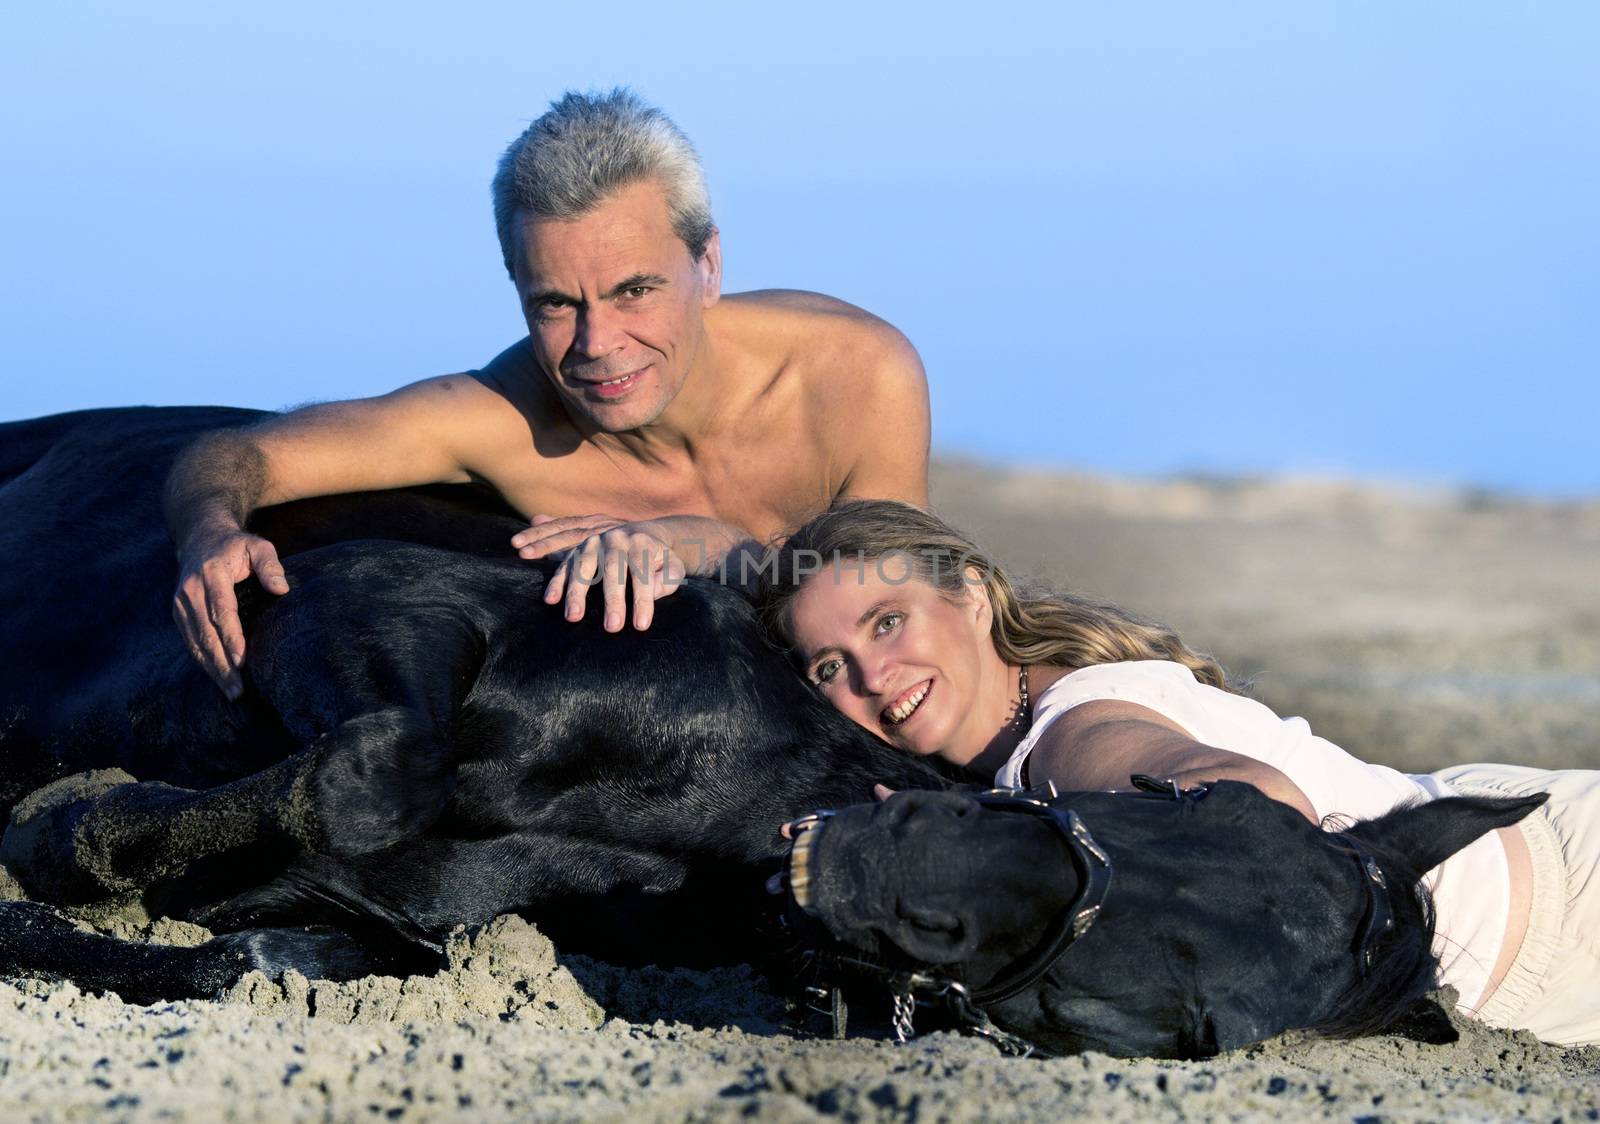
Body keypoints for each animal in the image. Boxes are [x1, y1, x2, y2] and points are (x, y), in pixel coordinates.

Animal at [3, 409, 1548, 1063]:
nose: (888, 870)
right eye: (1181, 798)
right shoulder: (355, 601)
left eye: (1192, 1023)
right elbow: (366, 779)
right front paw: (72, 829)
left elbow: (268, 945)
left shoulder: (398, 920)